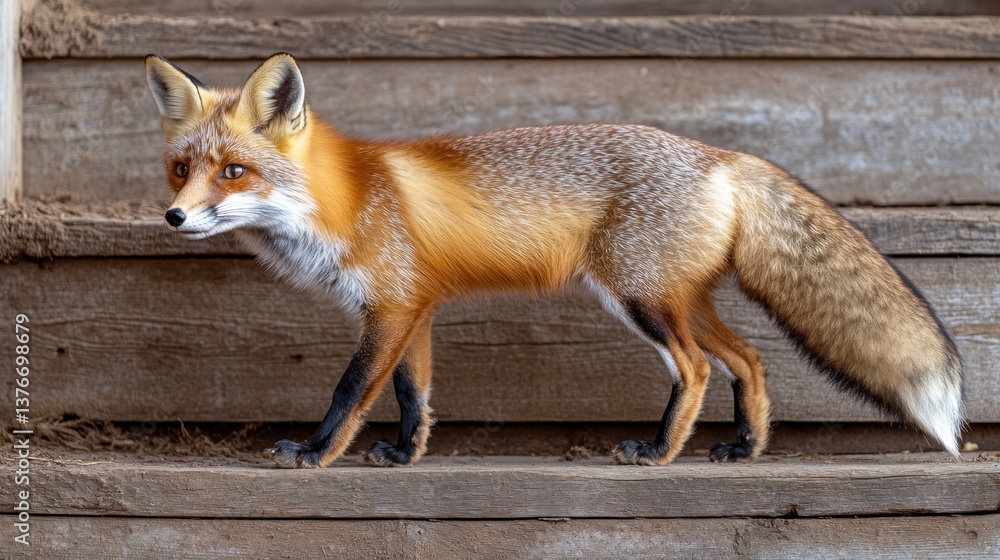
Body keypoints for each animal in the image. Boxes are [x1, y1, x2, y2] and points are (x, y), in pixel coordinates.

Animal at [144, 53, 965, 468]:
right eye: (181, 169)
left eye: (234, 173)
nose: (175, 216)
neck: (343, 200)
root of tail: (722, 156)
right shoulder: (414, 310)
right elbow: (414, 396)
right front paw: (407, 456)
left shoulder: (391, 308)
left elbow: (350, 393)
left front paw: (315, 456)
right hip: (680, 299)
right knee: (750, 359)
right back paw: (744, 447)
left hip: (640, 301)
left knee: (698, 369)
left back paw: (661, 453)